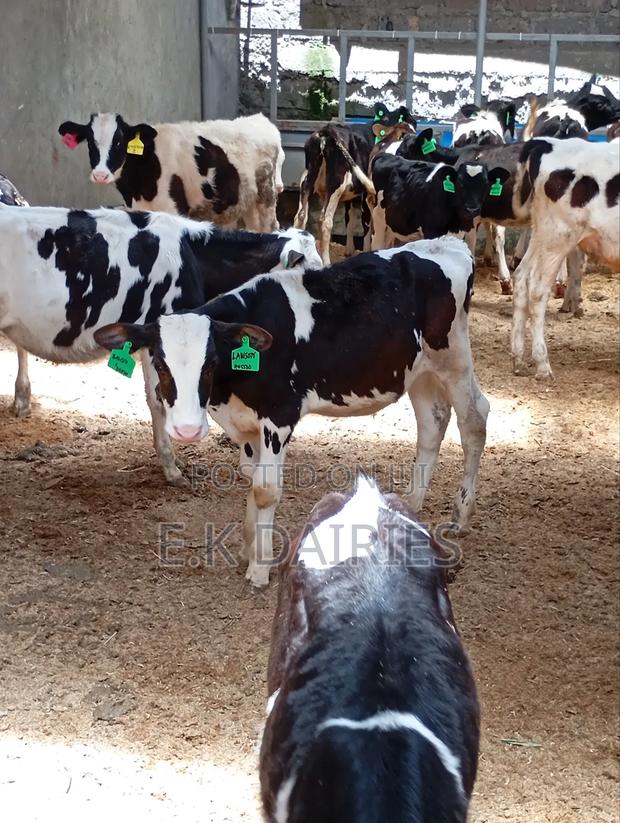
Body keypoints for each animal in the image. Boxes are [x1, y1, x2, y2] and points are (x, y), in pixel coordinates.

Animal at [58, 112, 284, 232]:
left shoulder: (174, 210)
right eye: (90, 142)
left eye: (119, 142)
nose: (100, 175)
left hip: (267, 197)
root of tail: (259, 118)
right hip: (248, 200)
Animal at [94, 235, 490, 587]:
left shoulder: (279, 416)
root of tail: (449, 243)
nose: (187, 430)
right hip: (418, 370)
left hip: (453, 358)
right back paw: (411, 508)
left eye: (211, 362)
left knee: (474, 420)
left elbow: (266, 489)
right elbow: (252, 480)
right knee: (433, 423)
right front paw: (249, 549)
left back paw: (460, 516)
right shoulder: (247, 424)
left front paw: (260, 569)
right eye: (160, 363)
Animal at [293, 104, 416, 263]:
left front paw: (349, 250)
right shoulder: (367, 194)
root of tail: (326, 131)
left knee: (301, 216)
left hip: (307, 179)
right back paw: (326, 261)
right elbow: (367, 223)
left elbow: (349, 217)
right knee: (325, 221)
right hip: (335, 184)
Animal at [369, 151, 511, 250]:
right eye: (460, 182)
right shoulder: (431, 233)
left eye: (486, 183)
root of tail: (384, 155)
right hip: (378, 218)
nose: (472, 209)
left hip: (392, 221)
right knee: (376, 244)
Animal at [511, 137, 620, 380]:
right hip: (559, 237)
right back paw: (542, 364)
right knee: (537, 290)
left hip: (542, 234)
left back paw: (518, 358)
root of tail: (547, 143)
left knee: (521, 277)